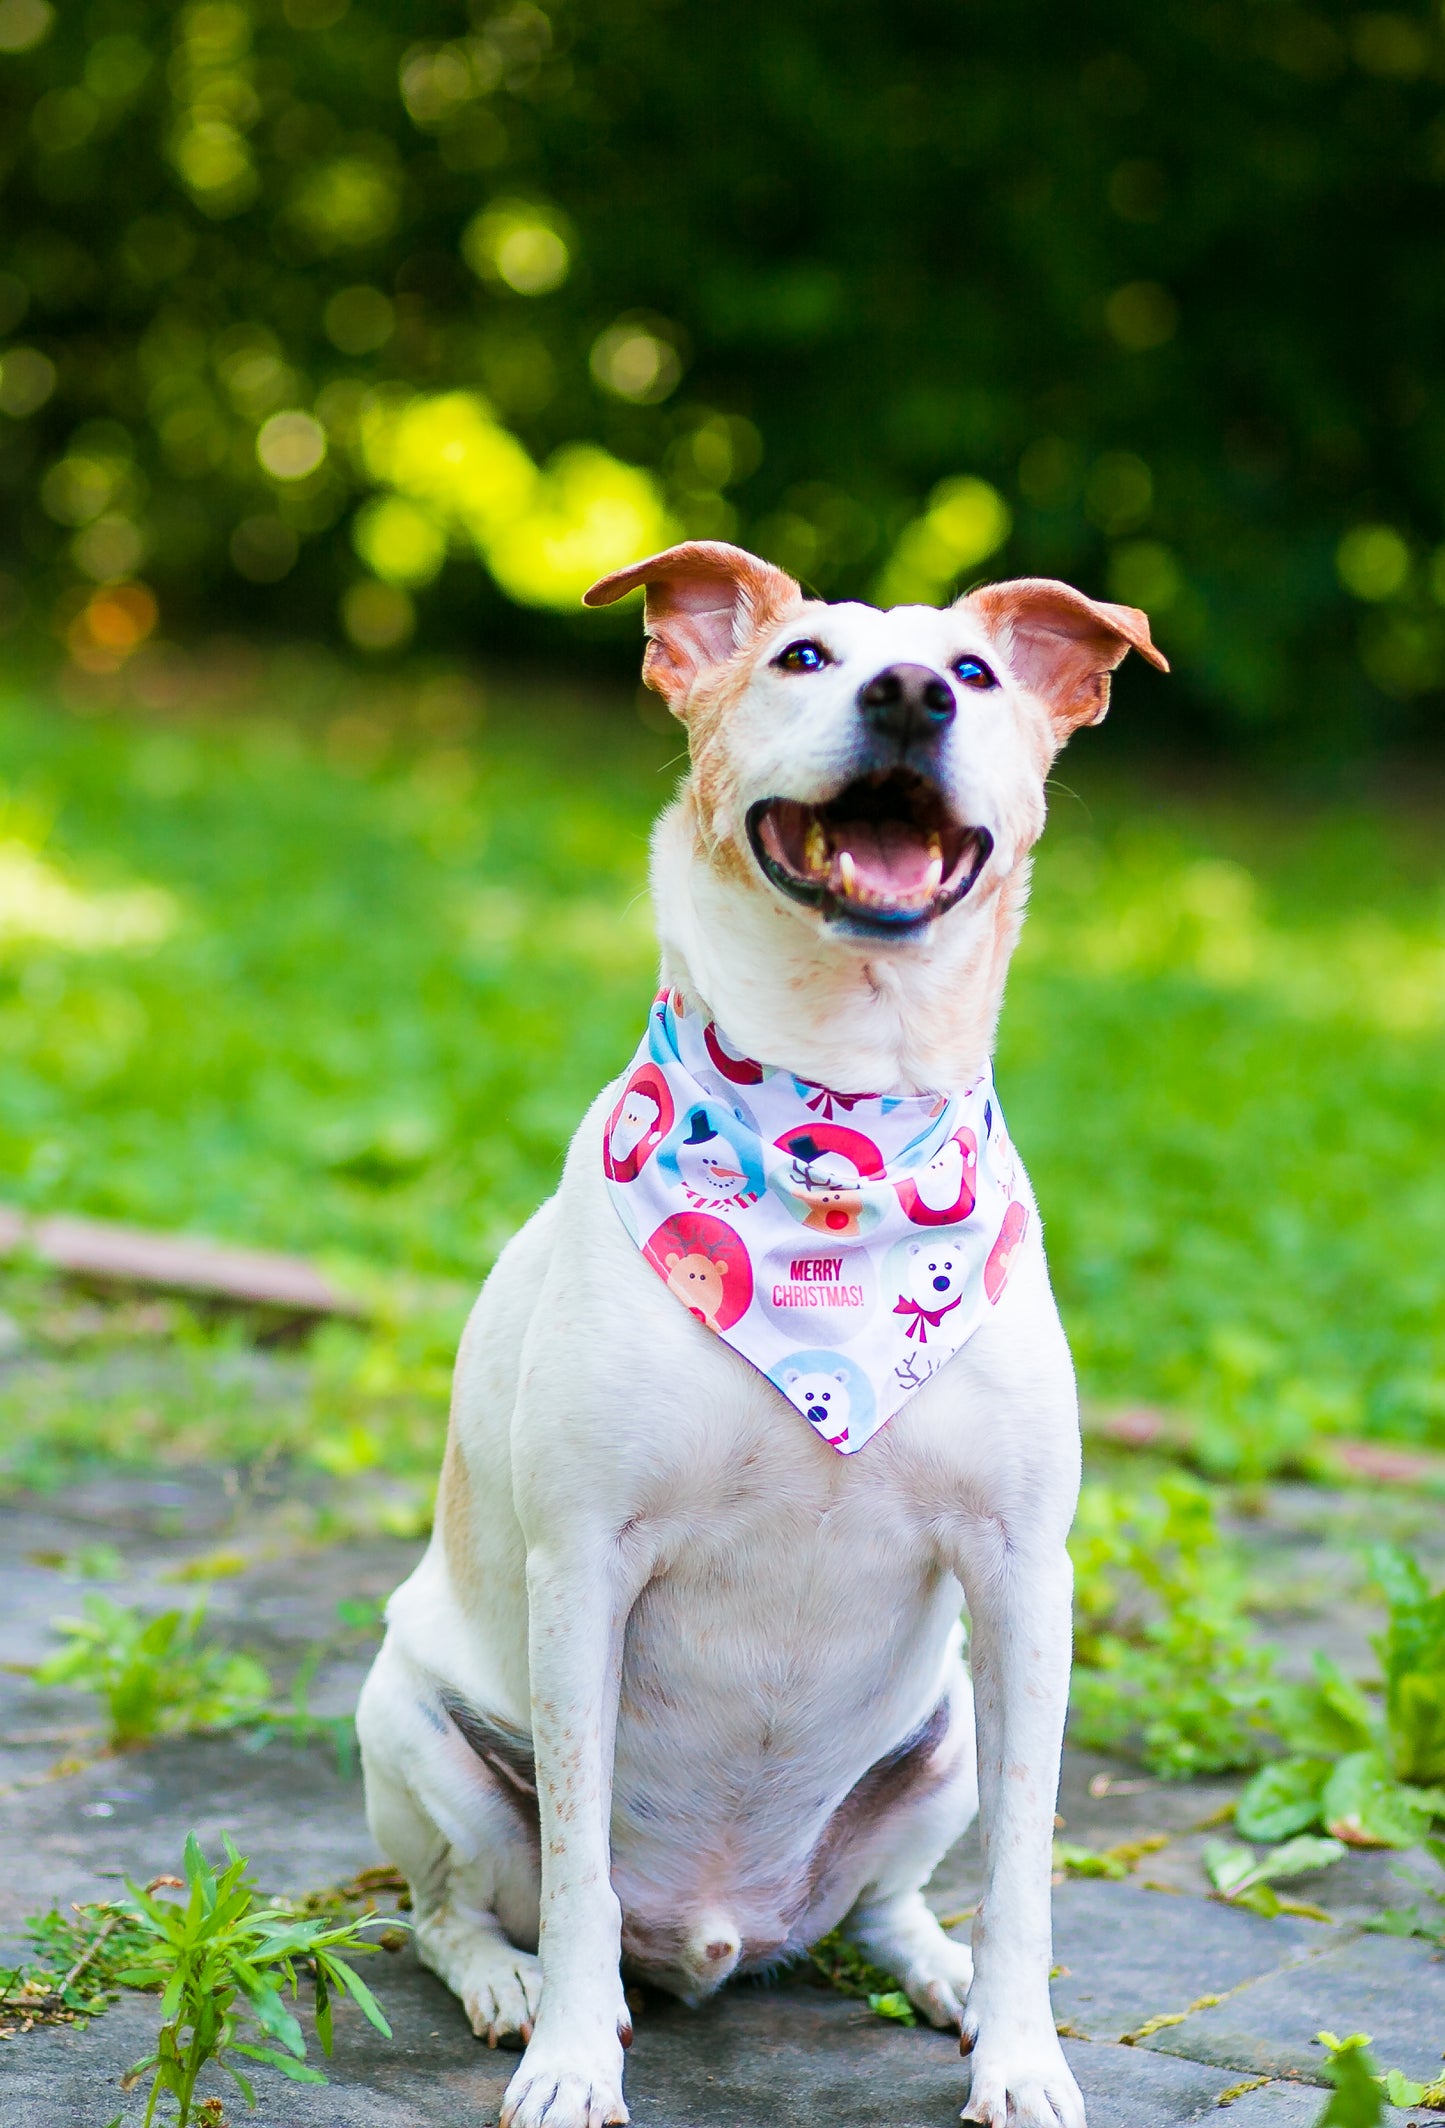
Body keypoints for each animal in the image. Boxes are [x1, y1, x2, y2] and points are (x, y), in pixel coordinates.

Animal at [355, 544, 1166, 2128]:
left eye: (973, 674)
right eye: (798, 658)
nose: (908, 694)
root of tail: (725, 1930)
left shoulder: (1024, 1581)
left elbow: (1027, 1874)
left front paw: (1025, 2055)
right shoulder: (583, 1569)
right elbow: (579, 1864)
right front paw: (569, 2061)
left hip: (943, 1739)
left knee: (889, 1904)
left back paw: (943, 1975)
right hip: (407, 1725)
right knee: (456, 1909)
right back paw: (514, 1988)